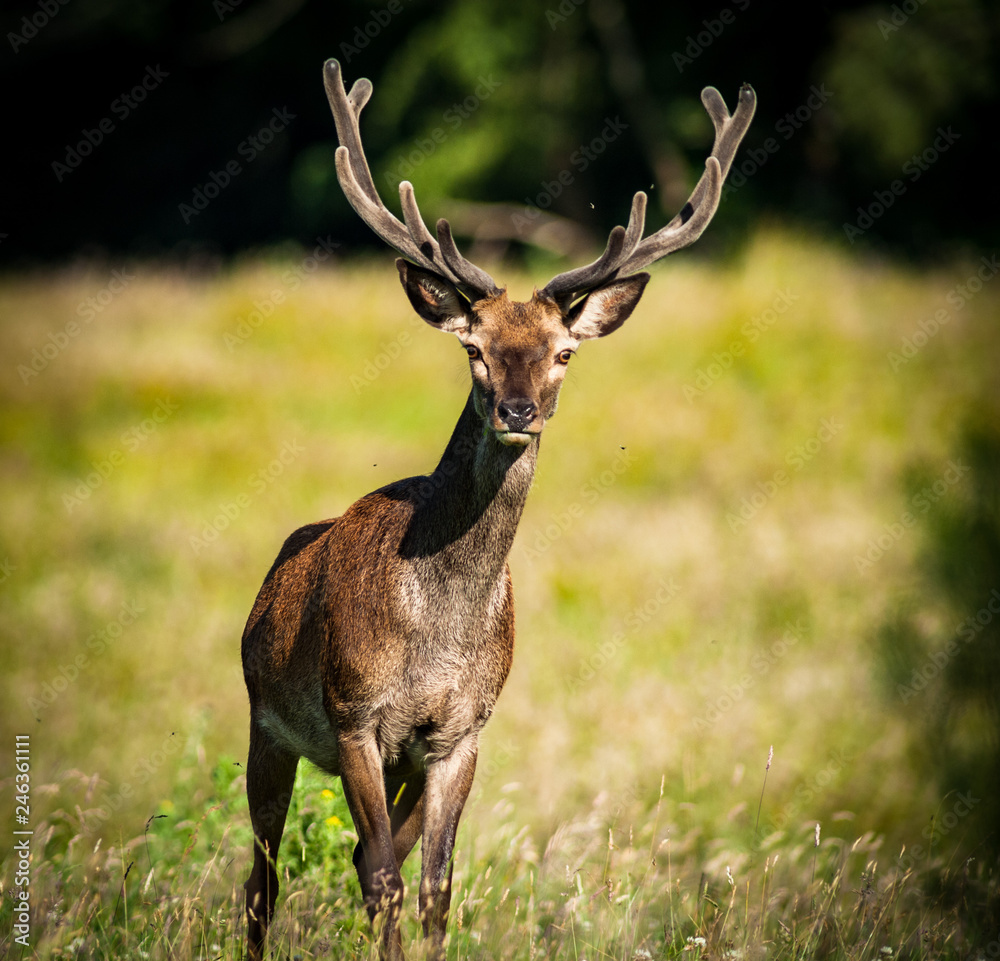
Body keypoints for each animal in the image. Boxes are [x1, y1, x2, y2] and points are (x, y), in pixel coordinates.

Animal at [242, 56, 752, 956]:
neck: (437, 633)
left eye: (563, 352)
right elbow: (386, 879)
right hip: (264, 724)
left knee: (353, 861)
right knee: (261, 882)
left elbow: (432, 883)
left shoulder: (461, 732)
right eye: (475, 350)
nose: (518, 409)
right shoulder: (354, 715)